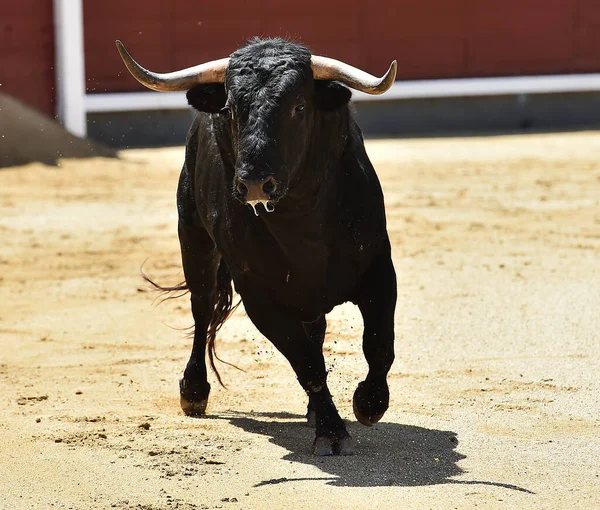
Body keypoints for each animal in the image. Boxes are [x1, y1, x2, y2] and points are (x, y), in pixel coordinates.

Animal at [118, 38, 398, 454]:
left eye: (299, 107)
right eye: (232, 109)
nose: (253, 183)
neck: (303, 225)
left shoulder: (379, 267)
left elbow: (378, 344)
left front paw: (368, 404)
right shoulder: (259, 297)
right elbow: (307, 364)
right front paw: (331, 430)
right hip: (193, 238)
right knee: (202, 309)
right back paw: (194, 392)